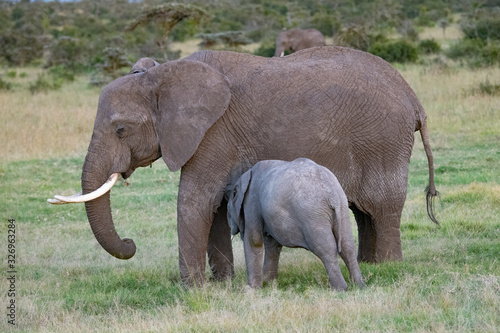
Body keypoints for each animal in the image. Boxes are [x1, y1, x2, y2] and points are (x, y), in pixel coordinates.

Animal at [229, 157, 366, 290]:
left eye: (229, 214)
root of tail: (332, 195)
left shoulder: (251, 201)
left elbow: (254, 240)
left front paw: (250, 290)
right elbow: (272, 244)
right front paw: (270, 284)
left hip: (312, 214)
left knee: (325, 248)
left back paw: (340, 289)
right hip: (342, 208)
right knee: (347, 245)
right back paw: (359, 285)